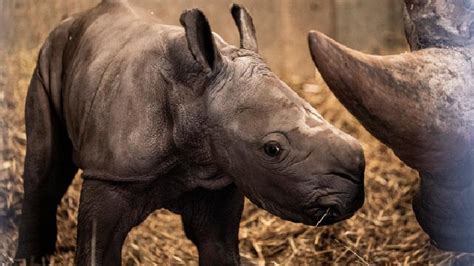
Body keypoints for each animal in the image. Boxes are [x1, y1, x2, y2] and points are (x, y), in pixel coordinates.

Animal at [13, 1, 362, 264]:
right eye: (273, 149)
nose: (352, 193)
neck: (196, 95)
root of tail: (77, 16)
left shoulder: (220, 171)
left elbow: (218, 248)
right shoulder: (111, 173)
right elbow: (98, 248)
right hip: (49, 57)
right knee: (43, 170)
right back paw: (31, 259)